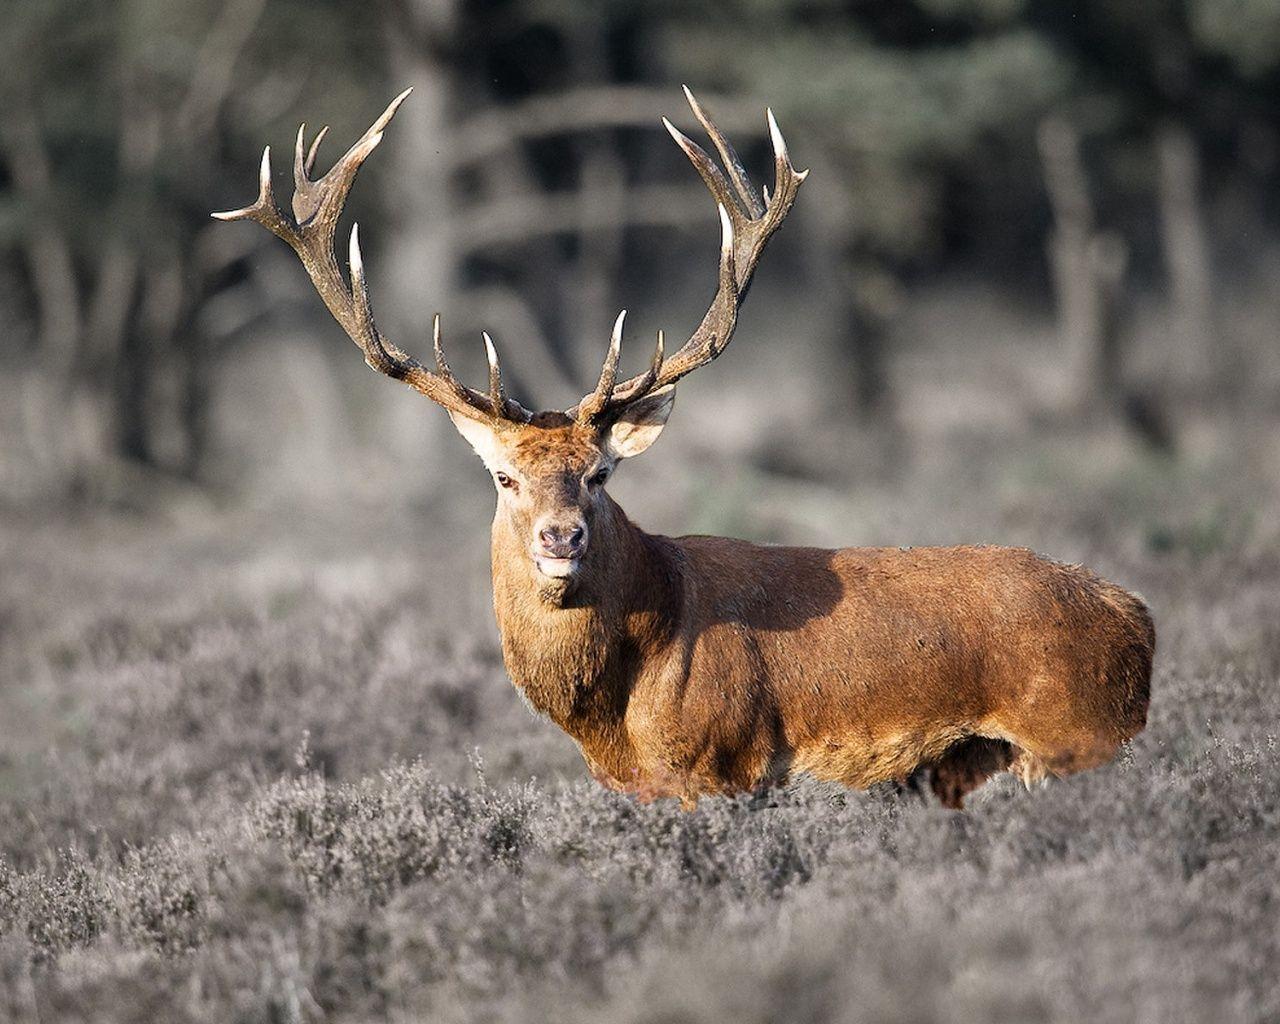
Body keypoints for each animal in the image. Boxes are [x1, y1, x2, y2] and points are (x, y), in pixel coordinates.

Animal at [215, 88, 1154, 809]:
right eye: (504, 476)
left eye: (599, 474)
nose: (562, 537)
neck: (616, 712)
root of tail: (1138, 619)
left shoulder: (720, 764)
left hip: (1075, 733)